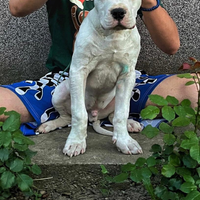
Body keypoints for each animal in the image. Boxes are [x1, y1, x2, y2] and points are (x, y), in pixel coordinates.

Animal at [37, 0, 143, 156]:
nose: (118, 12)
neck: (113, 35)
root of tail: (95, 114)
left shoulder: (127, 75)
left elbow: (122, 113)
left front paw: (125, 141)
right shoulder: (79, 71)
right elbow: (78, 113)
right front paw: (76, 143)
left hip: (127, 92)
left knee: (112, 116)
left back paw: (131, 123)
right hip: (59, 92)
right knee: (66, 117)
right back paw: (49, 124)